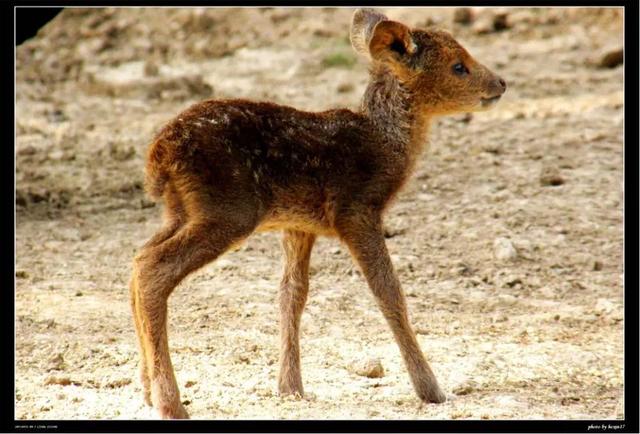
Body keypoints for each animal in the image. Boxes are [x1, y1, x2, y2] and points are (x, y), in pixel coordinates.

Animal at [130, 8, 508, 418]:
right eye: (459, 66)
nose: (501, 83)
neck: (386, 145)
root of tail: (158, 156)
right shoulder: (356, 209)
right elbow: (388, 292)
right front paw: (431, 390)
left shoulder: (298, 223)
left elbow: (292, 294)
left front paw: (290, 388)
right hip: (228, 210)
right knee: (153, 268)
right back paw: (170, 403)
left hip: (182, 210)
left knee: (138, 258)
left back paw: (147, 391)